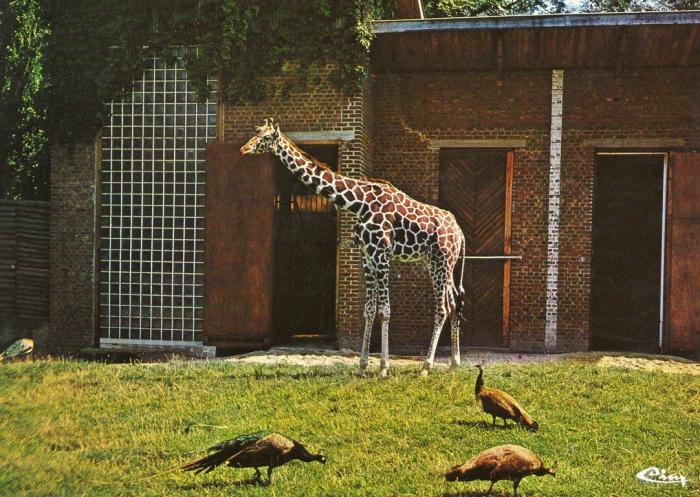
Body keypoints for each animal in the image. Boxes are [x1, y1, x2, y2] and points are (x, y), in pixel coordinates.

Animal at [241, 119, 466, 377]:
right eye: (256, 132)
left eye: (266, 137)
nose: (244, 149)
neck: (359, 203)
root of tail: (460, 232)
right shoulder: (366, 255)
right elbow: (368, 309)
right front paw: (362, 366)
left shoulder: (382, 254)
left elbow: (384, 310)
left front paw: (383, 368)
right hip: (440, 262)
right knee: (454, 301)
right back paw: (454, 363)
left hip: (441, 260)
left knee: (442, 307)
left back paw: (426, 366)